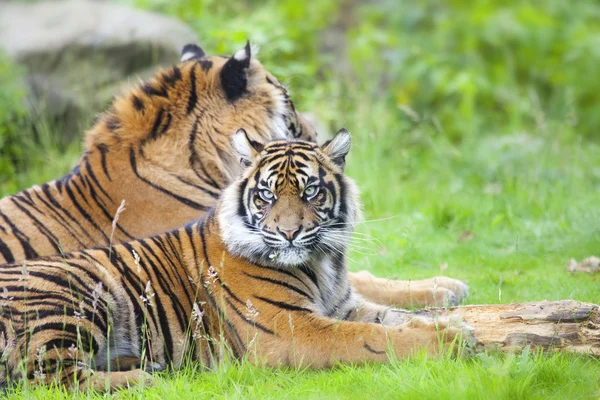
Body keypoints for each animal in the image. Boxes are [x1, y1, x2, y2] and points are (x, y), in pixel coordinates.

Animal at [0, 131, 474, 390]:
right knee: (45, 377)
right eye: (267, 194)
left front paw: (456, 327)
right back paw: (142, 379)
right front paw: (451, 342)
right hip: (79, 290)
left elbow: (393, 319)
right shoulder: (290, 328)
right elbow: (368, 338)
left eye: (310, 191)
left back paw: (140, 364)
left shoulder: (343, 305)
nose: (289, 232)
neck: (322, 262)